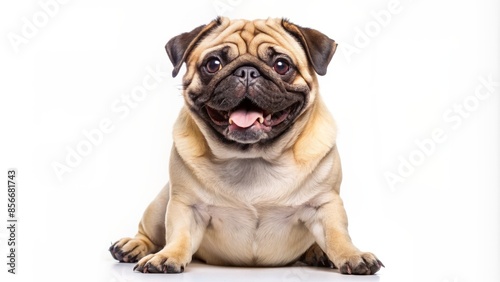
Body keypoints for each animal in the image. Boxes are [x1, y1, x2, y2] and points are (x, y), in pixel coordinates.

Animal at [109, 16, 382, 276]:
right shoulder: (185, 206)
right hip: (160, 204)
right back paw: (132, 246)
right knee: (149, 232)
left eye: (281, 65)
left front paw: (353, 255)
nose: (247, 72)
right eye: (213, 64)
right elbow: (179, 236)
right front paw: (167, 257)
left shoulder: (325, 204)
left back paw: (318, 253)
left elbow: (337, 235)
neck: (253, 158)